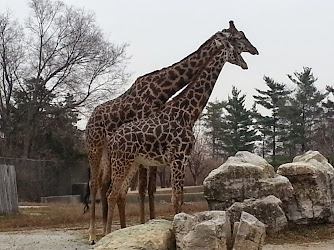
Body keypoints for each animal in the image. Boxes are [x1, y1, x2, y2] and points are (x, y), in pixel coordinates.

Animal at [85, 23, 249, 242]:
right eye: (237, 44)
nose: (247, 62)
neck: (188, 112)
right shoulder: (178, 158)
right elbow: (173, 197)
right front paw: (173, 230)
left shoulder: (175, 160)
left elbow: (165, 194)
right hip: (103, 152)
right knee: (103, 188)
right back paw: (100, 235)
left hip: (126, 161)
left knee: (114, 191)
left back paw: (113, 231)